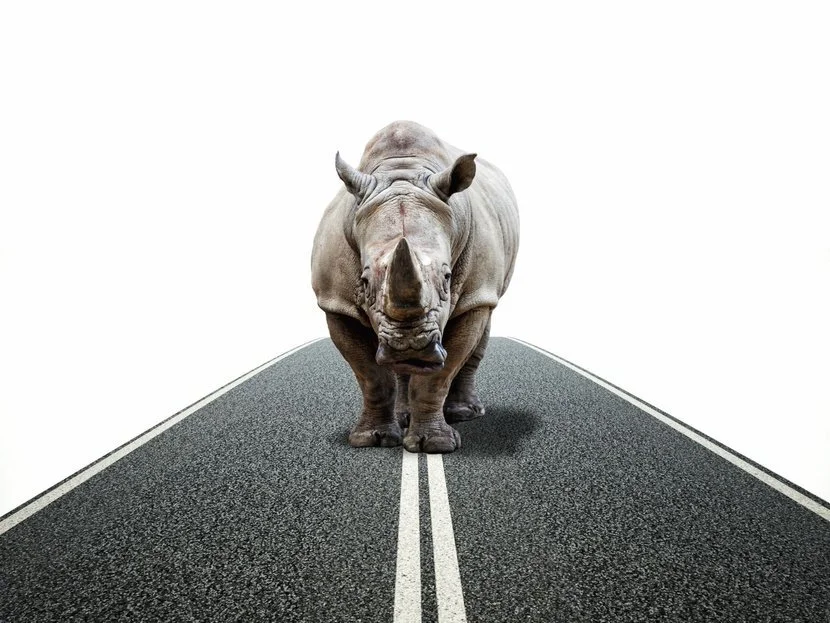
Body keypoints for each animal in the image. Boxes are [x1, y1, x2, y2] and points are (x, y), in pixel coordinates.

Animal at [311, 121, 519, 453]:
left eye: (447, 277)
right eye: (364, 282)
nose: (410, 346)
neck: (403, 170)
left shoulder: (476, 292)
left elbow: (438, 376)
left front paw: (433, 445)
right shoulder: (335, 302)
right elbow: (372, 376)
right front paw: (371, 440)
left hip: (486, 289)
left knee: (484, 319)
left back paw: (464, 413)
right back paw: (403, 414)